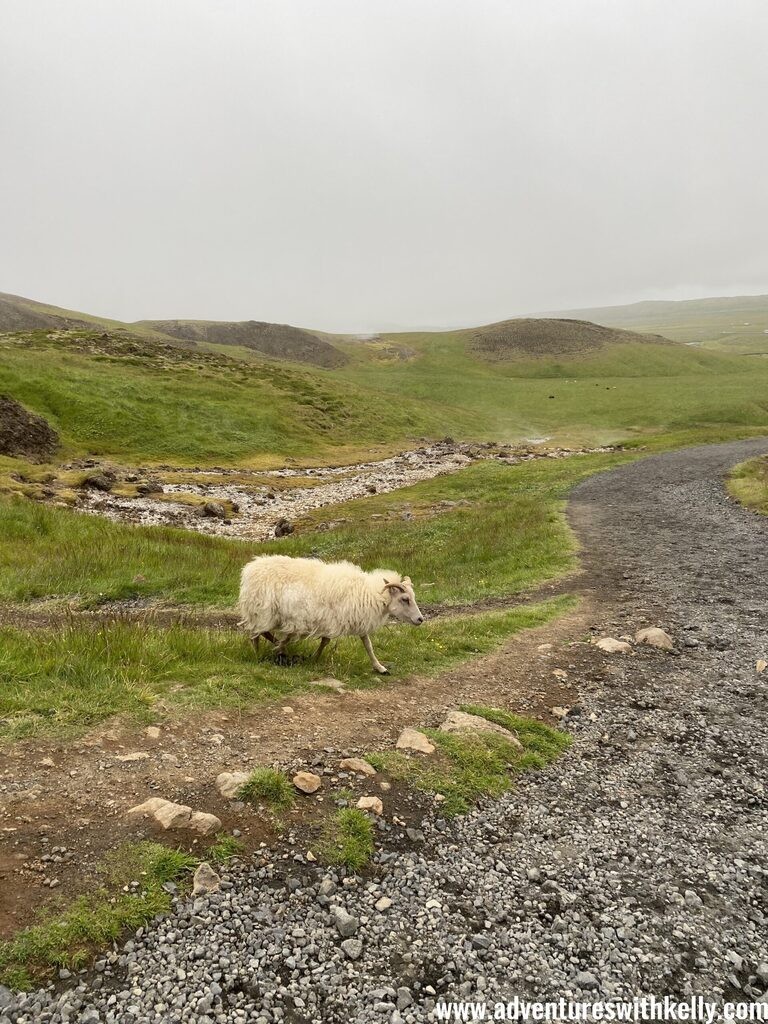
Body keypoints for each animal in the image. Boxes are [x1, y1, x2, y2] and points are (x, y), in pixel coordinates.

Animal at [237, 557, 423, 675]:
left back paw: (280, 647)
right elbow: (326, 641)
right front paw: (314, 658)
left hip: (267, 614)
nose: (420, 619)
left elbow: (368, 645)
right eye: (405, 599)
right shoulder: (332, 619)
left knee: (263, 633)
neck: (369, 593)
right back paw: (261, 653)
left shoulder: (356, 618)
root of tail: (250, 569)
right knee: (256, 634)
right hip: (262, 611)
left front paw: (380, 667)